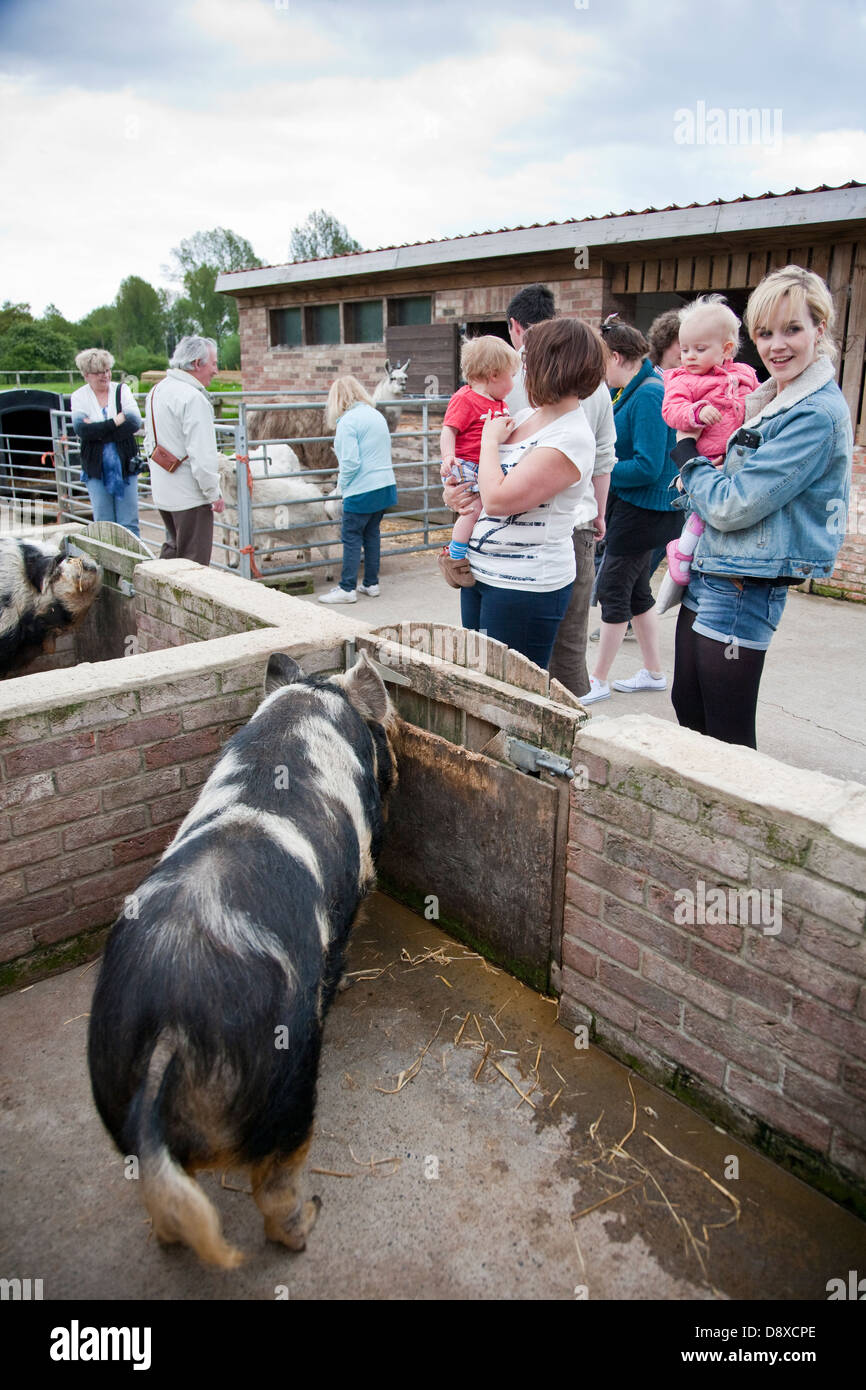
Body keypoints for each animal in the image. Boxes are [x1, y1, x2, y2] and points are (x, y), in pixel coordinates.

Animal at [86, 650, 397, 1273]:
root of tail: (168, 1025)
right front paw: (347, 985)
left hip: (111, 1076)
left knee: (163, 1198)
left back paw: (170, 1239)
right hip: (286, 1083)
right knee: (276, 1181)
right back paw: (306, 1225)